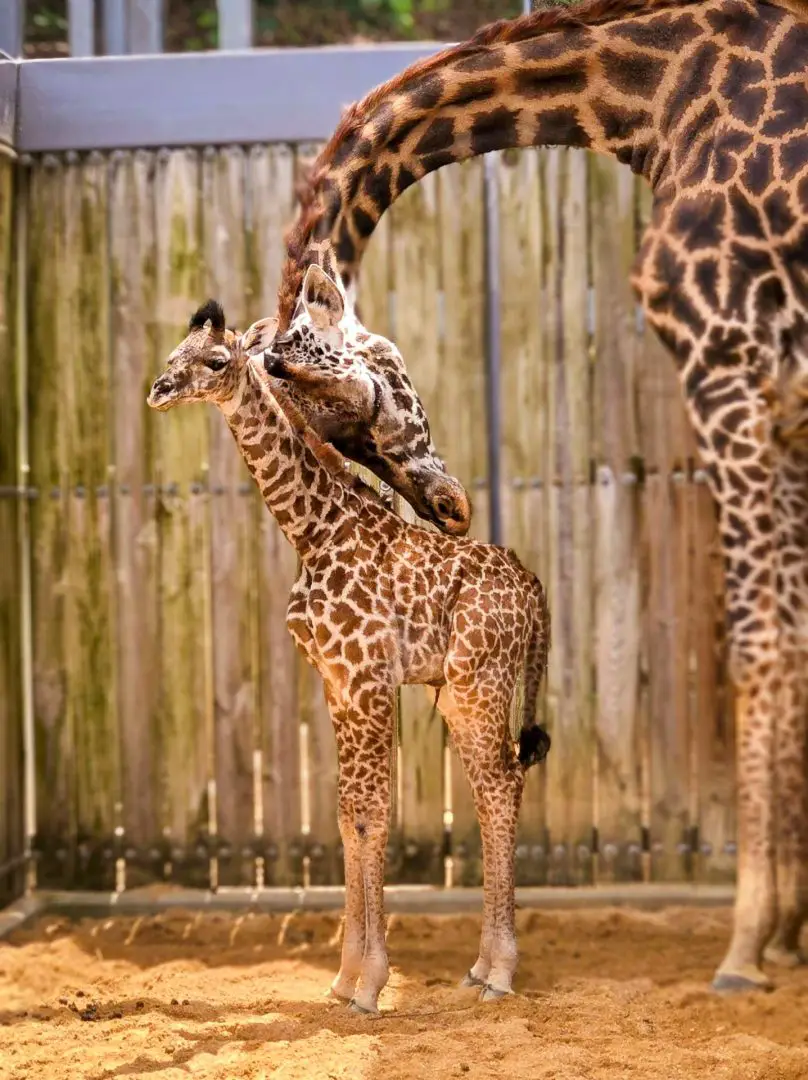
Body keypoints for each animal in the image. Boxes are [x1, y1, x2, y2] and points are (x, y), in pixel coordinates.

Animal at [147, 288, 552, 1015]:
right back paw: (481, 967)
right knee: (492, 789)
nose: (159, 390)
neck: (313, 531)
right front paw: (343, 978)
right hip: (460, 693)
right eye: (173, 353)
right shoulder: (335, 683)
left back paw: (501, 972)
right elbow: (344, 816)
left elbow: (371, 814)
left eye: (215, 360)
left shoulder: (368, 680)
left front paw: (369, 983)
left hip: (481, 684)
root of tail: (534, 591)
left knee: (502, 785)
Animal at [246, 0, 808, 992]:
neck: (662, 96)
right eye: (340, 435)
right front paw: (784, 931)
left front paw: (749, 945)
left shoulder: (728, 358)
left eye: (365, 397)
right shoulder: (777, 398)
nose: (449, 510)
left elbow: (761, 647)